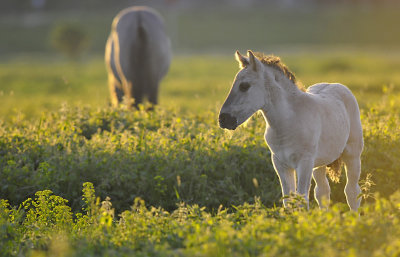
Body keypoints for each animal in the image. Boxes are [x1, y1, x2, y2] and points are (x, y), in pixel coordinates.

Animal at [220, 50, 364, 210]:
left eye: (244, 86)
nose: (223, 119)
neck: (286, 123)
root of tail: (336, 85)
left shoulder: (304, 162)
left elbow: (301, 199)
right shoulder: (280, 163)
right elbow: (288, 200)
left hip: (352, 155)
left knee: (352, 192)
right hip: (319, 164)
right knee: (323, 192)